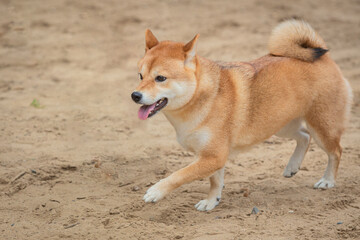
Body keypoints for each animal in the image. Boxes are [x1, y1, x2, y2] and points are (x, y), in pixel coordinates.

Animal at [131, 20, 352, 212]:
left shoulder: (213, 156)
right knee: (305, 136)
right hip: (280, 125)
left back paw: (327, 181)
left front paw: (156, 191)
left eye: (161, 78)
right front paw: (212, 202)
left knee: (336, 151)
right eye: (140, 76)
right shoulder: (213, 156)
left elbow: (180, 175)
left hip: (322, 128)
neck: (201, 98)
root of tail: (323, 55)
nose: (135, 95)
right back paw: (292, 166)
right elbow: (215, 181)